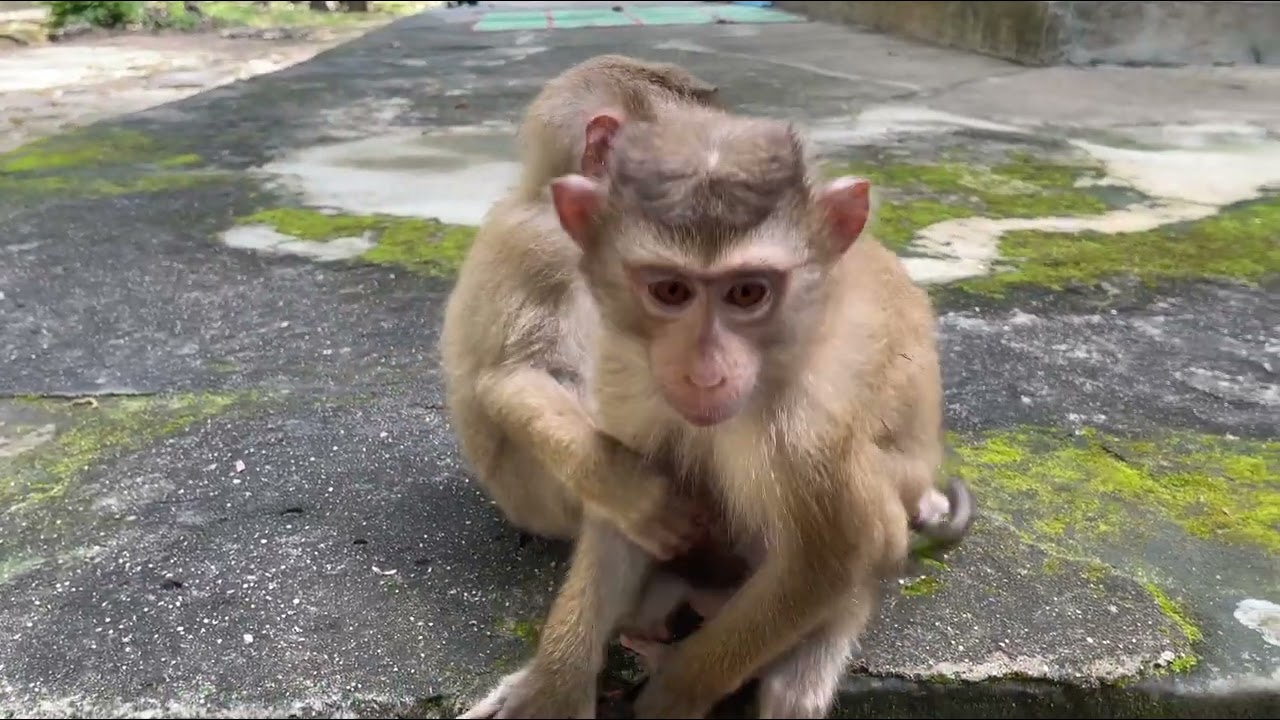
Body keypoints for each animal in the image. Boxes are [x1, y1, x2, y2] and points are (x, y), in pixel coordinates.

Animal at [455, 105, 965, 720]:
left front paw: (674, 694)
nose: (705, 373)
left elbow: (839, 552)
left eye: (747, 293)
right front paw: (553, 685)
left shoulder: (809, 427)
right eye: (670, 290)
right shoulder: (625, 374)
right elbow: (623, 512)